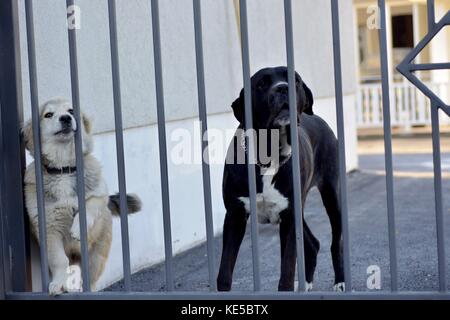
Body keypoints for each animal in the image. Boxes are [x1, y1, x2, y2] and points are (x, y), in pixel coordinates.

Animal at [22, 97, 141, 296]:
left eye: (71, 110)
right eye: (48, 114)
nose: (66, 118)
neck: (63, 169)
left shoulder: (100, 193)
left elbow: (90, 206)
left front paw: (77, 228)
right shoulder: (49, 229)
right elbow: (59, 260)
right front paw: (57, 283)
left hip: (96, 257)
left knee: (90, 280)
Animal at [218, 66, 344, 292]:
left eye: (295, 80)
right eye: (261, 84)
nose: (283, 88)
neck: (268, 154)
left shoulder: (289, 218)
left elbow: (286, 273)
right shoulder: (235, 216)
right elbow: (224, 273)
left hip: (332, 196)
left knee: (335, 242)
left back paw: (340, 282)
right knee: (313, 244)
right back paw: (306, 283)